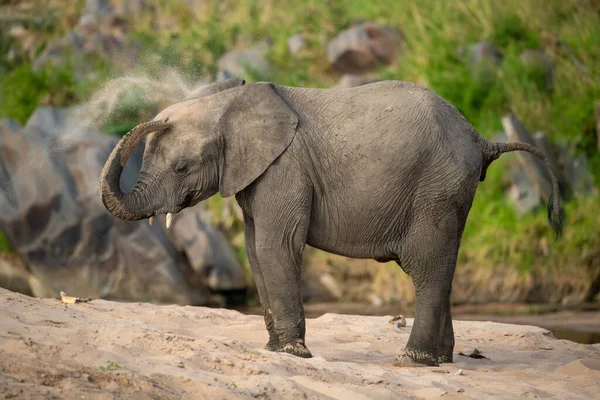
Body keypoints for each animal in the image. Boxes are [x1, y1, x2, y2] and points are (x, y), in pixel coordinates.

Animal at [98, 77, 564, 366]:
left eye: (181, 168)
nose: (154, 118)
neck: (229, 102)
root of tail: (480, 139)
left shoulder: (284, 169)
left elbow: (276, 246)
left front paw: (292, 355)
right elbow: (254, 249)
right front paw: (274, 350)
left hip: (438, 188)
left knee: (428, 267)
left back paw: (413, 361)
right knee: (443, 267)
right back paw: (443, 360)